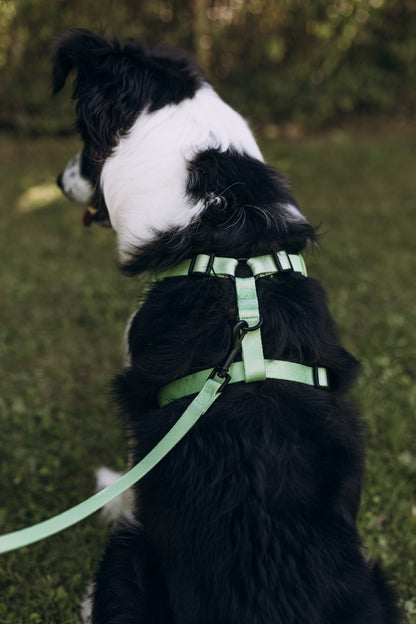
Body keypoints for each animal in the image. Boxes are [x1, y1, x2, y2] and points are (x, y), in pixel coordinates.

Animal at [53, 29, 403, 624]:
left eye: (85, 141)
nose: (57, 181)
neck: (228, 237)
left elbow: (132, 479)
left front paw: (108, 490)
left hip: (125, 559)